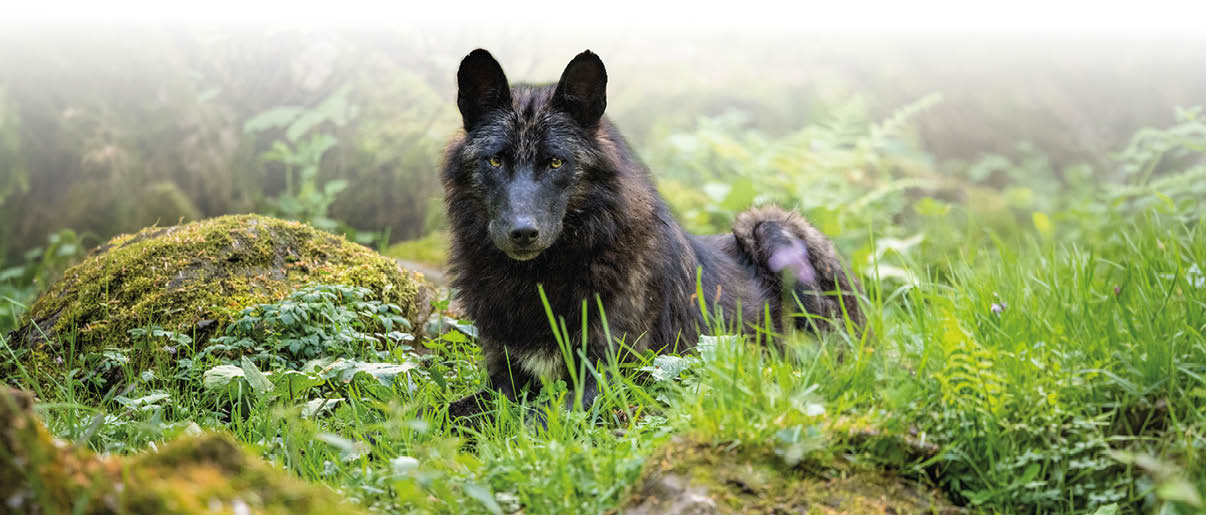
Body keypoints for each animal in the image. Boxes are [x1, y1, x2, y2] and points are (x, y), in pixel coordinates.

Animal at [443, 49, 863, 421]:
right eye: (495, 160)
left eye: (556, 162)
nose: (522, 232)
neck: (538, 280)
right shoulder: (505, 379)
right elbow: (452, 413)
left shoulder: (608, 377)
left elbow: (536, 421)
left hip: (767, 226)